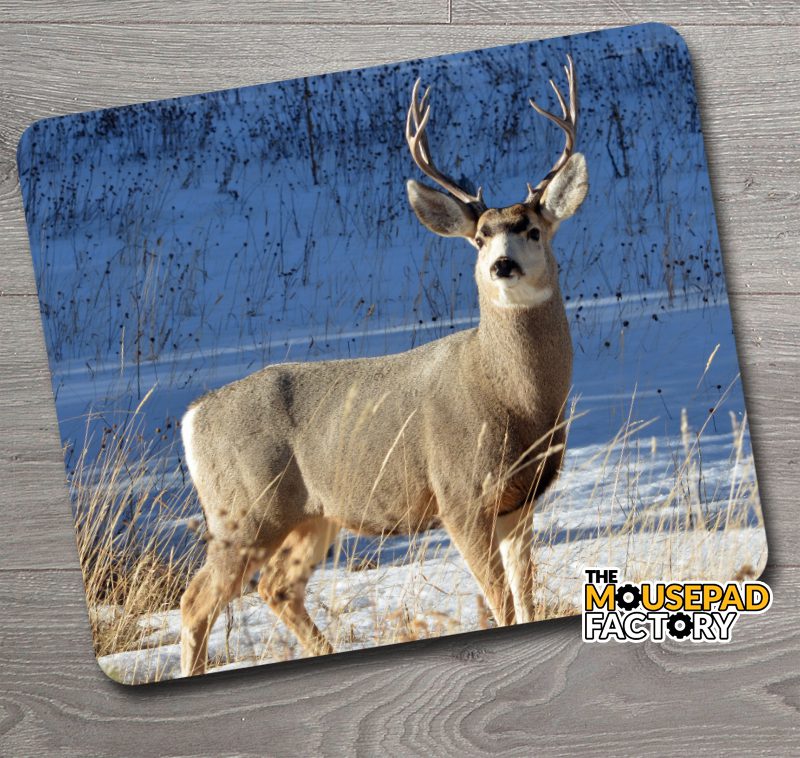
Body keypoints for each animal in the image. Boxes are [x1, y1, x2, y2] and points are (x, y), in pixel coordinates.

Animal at [179, 55, 588, 677]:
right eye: (478, 238)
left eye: (533, 229)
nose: (502, 266)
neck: (517, 404)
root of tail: (193, 417)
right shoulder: (457, 494)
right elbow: (500, 603)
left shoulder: (520, 501)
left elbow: (524, 601)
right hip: (244, 511)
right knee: (197, 600)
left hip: (313, 515)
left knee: (276, 588)